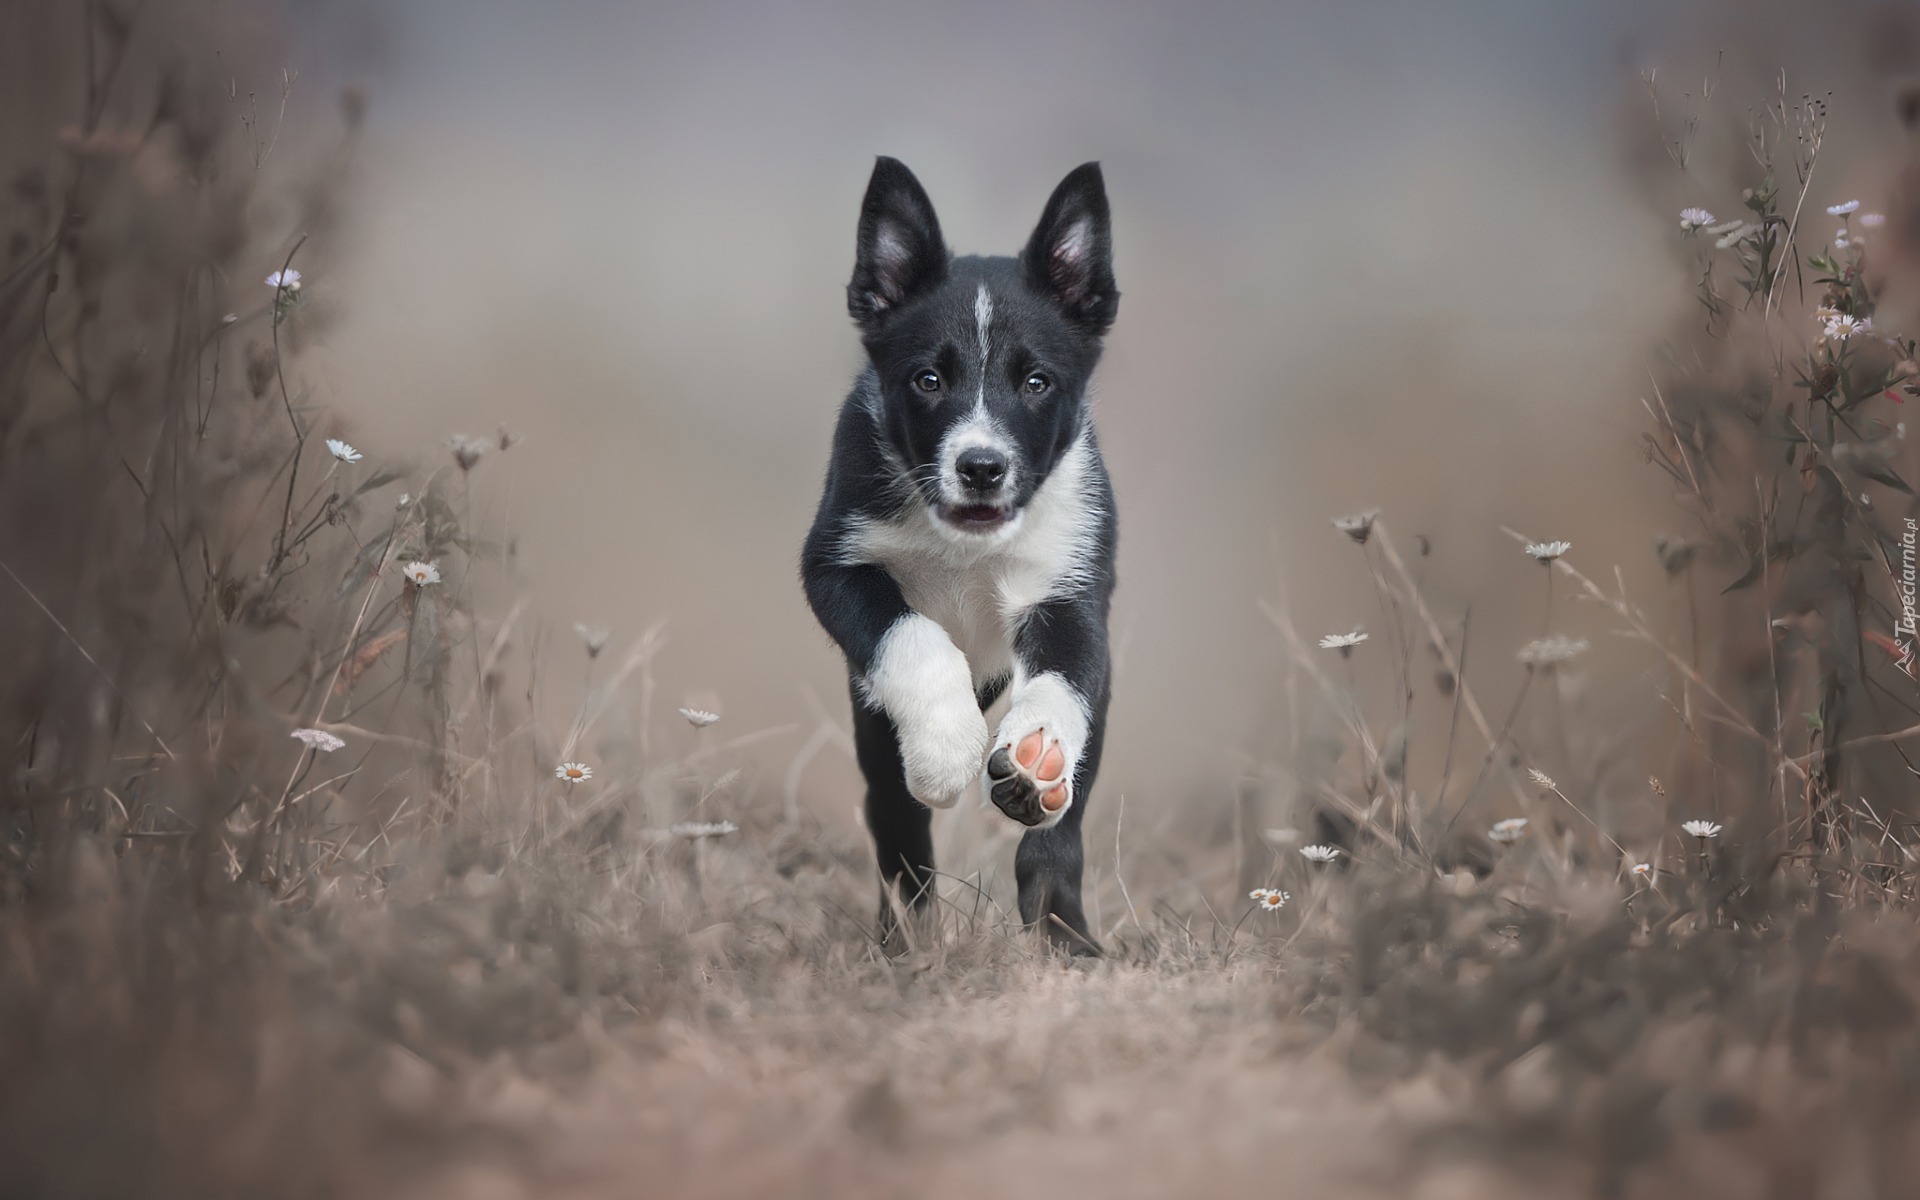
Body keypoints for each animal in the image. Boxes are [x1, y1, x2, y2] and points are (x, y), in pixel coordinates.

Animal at [798, 156, 1121, 956]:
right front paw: (944, 746)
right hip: (874, 736)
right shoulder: (836, 566)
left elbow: (1063, 686)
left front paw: (1039, 758)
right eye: (928, 379)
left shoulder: (1072, 593)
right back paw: (905, 942)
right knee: (899, 835)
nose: (980, 467)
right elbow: (913, 634)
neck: (968, 548)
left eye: (1036, 382)